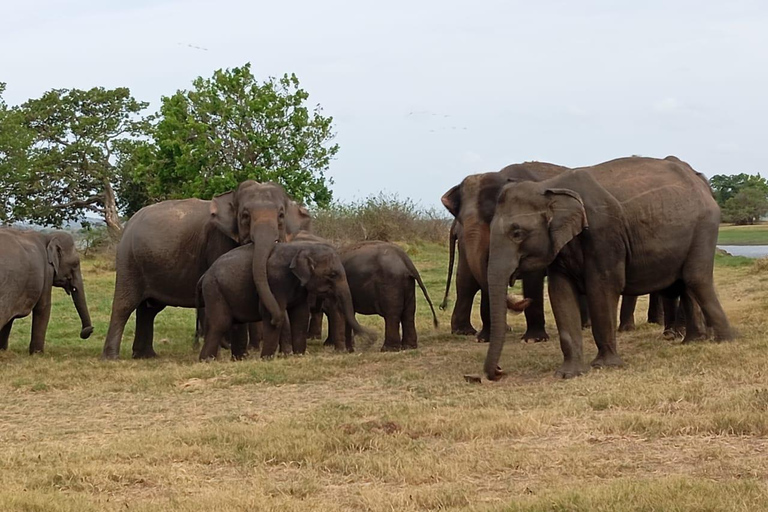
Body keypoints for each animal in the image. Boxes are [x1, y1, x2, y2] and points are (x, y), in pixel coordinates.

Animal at [101, 181, 308, 360]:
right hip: (129, 260)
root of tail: (129, 223)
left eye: (281, 215)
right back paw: (112, 358)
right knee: (124, 305)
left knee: (149, 310)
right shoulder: (217, 240)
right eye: (245, 216)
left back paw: (146, 356)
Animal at [196, 240, 374, 360]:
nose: (373, 337)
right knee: (221, 323)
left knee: (236, 323)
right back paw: (207, 360)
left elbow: (300, 315)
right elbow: (273, 312)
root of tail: (204, 275)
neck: (302, 247)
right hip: (214, 289)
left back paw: (239, 359)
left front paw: (299, 355)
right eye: (332, 275)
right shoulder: (275, 280)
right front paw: (267, 359)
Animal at [486, 156, 732, 380]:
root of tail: (701, 182)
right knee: (686, 285)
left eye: (517, 233)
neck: (550, 186)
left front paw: (605, 366)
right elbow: (560, 293)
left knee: (696, 278)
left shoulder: (604, 233)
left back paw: (726, 340)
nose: (499, 371)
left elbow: (602, 288)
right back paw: (692, 342)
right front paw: (568, 373)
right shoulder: (561, 246)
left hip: (705, 226)